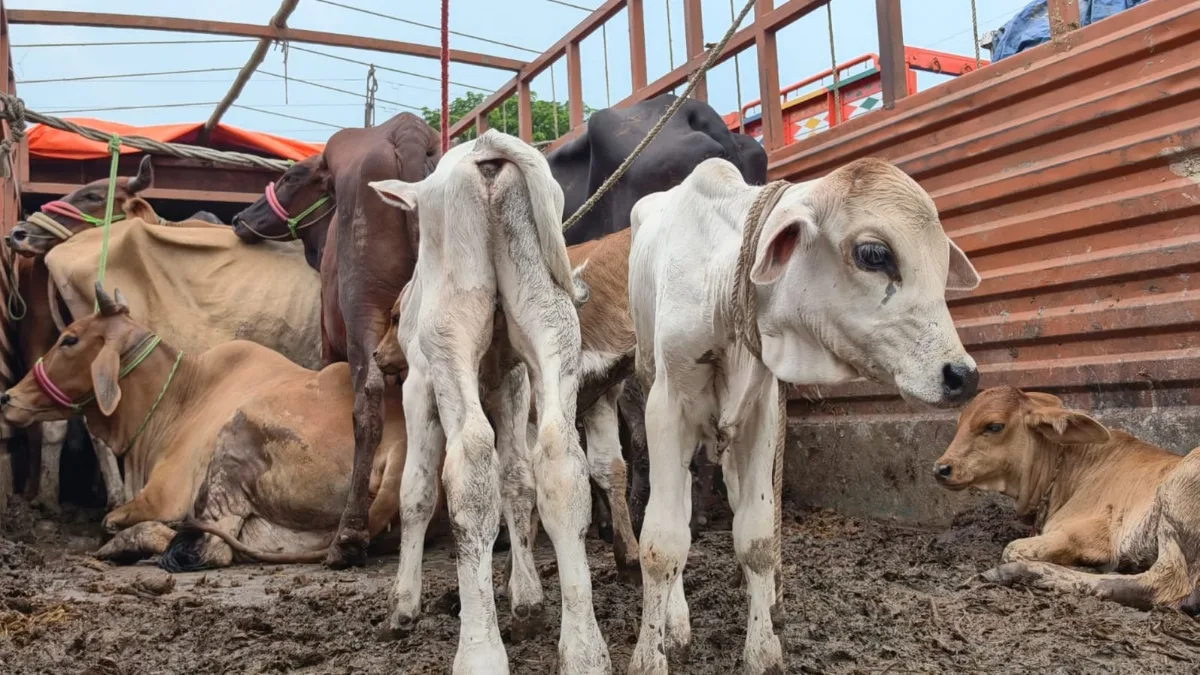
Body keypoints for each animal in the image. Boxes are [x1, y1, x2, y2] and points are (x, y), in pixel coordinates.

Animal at [0, 283, 419, 568]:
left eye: (69, 340)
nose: (9, 398)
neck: (178, 398)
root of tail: (400, 443)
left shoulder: (162, 496)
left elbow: (111, 519)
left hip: (237, 434)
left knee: (212, 547)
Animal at [227, 112, 440, 569]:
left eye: (290, 176)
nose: (238, 218)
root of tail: (408, 133)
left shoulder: (331, 343)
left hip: (365, 309)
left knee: (368, 402)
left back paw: (348, 536)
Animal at [368, 129, 609, 673]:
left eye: (392, 318)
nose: (377, 356)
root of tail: (486, 149)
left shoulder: (420, 385)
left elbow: (416, 491)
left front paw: (403, 605)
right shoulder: (512, 381)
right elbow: (518, 480)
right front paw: (527, 598)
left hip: (449, 332)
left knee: (471, 461)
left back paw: (479, 650)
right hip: (549, 317)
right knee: (559, 458)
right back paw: (584, 649)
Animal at [626, 157, 982, 674]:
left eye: (940, 264)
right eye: (874, 254)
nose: (963, 375)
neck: (721, 286)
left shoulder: (760, 411)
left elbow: (756, 536)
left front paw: (763, 648)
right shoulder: (667, 406)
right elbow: (662, 544)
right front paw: (649, 654)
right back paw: (675, 622)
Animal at [933, 386, 1200, 613]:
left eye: (994, 426)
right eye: (960, 423)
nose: (941, 468)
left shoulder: (1088, 533)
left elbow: (1012, 549)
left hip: (1173, 496)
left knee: (1165, 583)